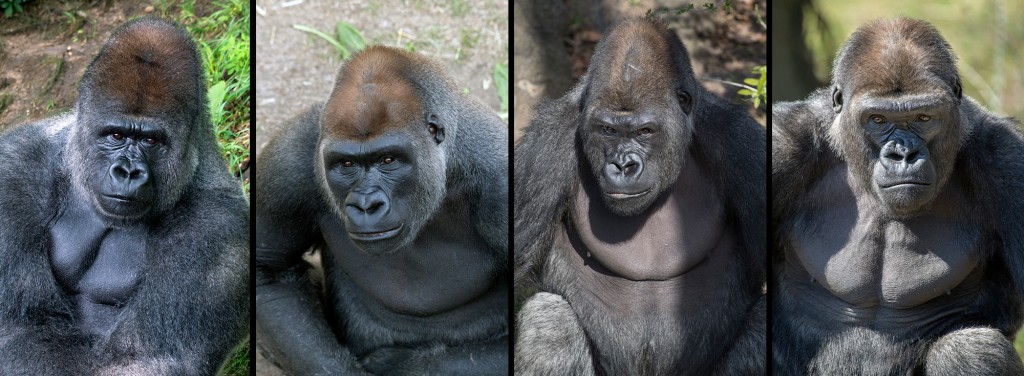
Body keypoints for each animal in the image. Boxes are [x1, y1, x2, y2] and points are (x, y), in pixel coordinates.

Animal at [0, 16, 248, 374]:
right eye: (116, 135)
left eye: (151, 141)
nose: (128, 172)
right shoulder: (15, 167)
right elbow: (20, 325)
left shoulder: (219, 233)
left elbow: (144, 359)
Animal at [254, 45, 507, 374]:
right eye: (346, 164)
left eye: (388, 160)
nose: (366, 205)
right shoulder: (289, 159)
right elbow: (269, 273)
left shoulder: (501, 179)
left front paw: (402, 365)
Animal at [516, 16, 765, 374]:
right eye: (609, 130)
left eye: (645, 131)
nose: (623, 165)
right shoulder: (542, 151)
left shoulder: (744, 149)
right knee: (550, 319)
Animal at [770, 16, 1024, 374]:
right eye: (878, 119)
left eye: (923, 117)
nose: (903, 155)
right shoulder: (783, 144)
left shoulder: (1006, 160)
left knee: (969, 348)